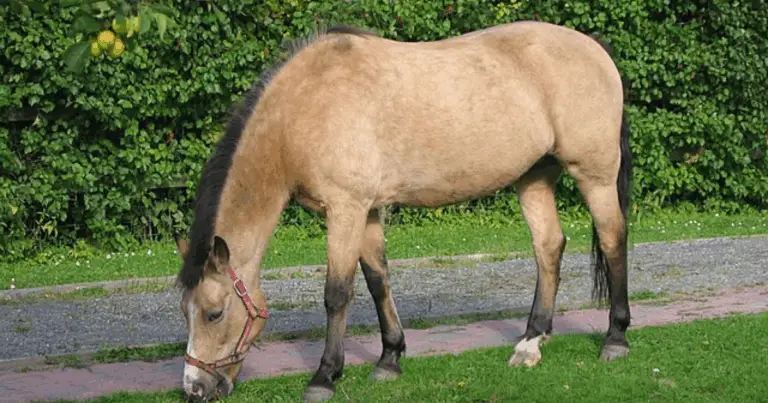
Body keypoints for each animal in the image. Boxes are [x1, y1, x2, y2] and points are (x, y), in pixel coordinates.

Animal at [173, 20, 633, 402]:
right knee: (548, 247)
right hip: (534, 176)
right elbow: (378, 280)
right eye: (184, 313)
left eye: (214, 313)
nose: (195, 389)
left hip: (594, 174)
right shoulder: (368, 211)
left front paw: (325, 376)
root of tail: (594, 47)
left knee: (613, 238)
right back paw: (531, 342)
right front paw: (389, 359)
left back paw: (615, 339)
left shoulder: (345, 208)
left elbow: (336, 293)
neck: (303, 110)